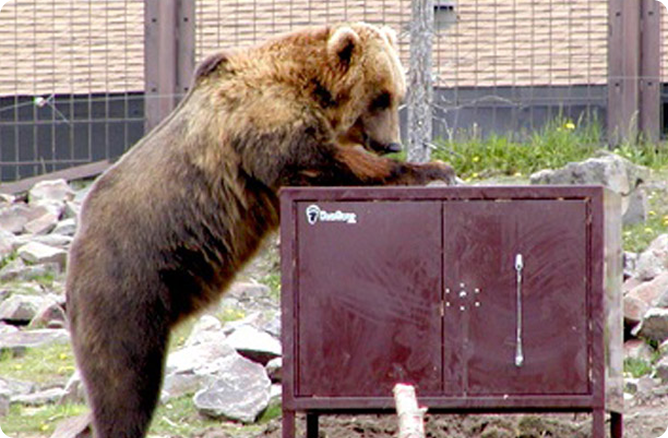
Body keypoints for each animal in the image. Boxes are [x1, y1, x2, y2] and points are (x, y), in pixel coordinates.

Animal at [66, 22, 455, 438]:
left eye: (397, 94)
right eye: (381, 97)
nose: (392, 143)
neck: (311, 87)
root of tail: (77, 246)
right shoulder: (264, 125)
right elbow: (318, 159)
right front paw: (432, 170)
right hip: (127, 286)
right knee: (125, 379)